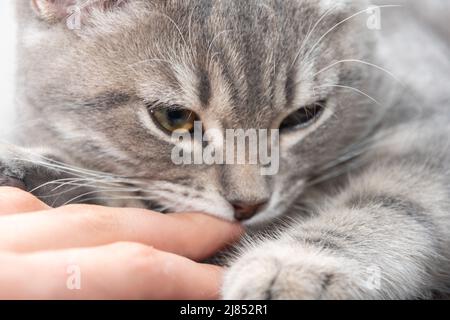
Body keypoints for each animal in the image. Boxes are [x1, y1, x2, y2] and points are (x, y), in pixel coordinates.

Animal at [0, 0, 450, 300]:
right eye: (175, 118)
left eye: (304, 116)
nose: (249, 205)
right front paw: (42, 176)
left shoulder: (428, 129)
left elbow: (391, 200)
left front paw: (295, 268)